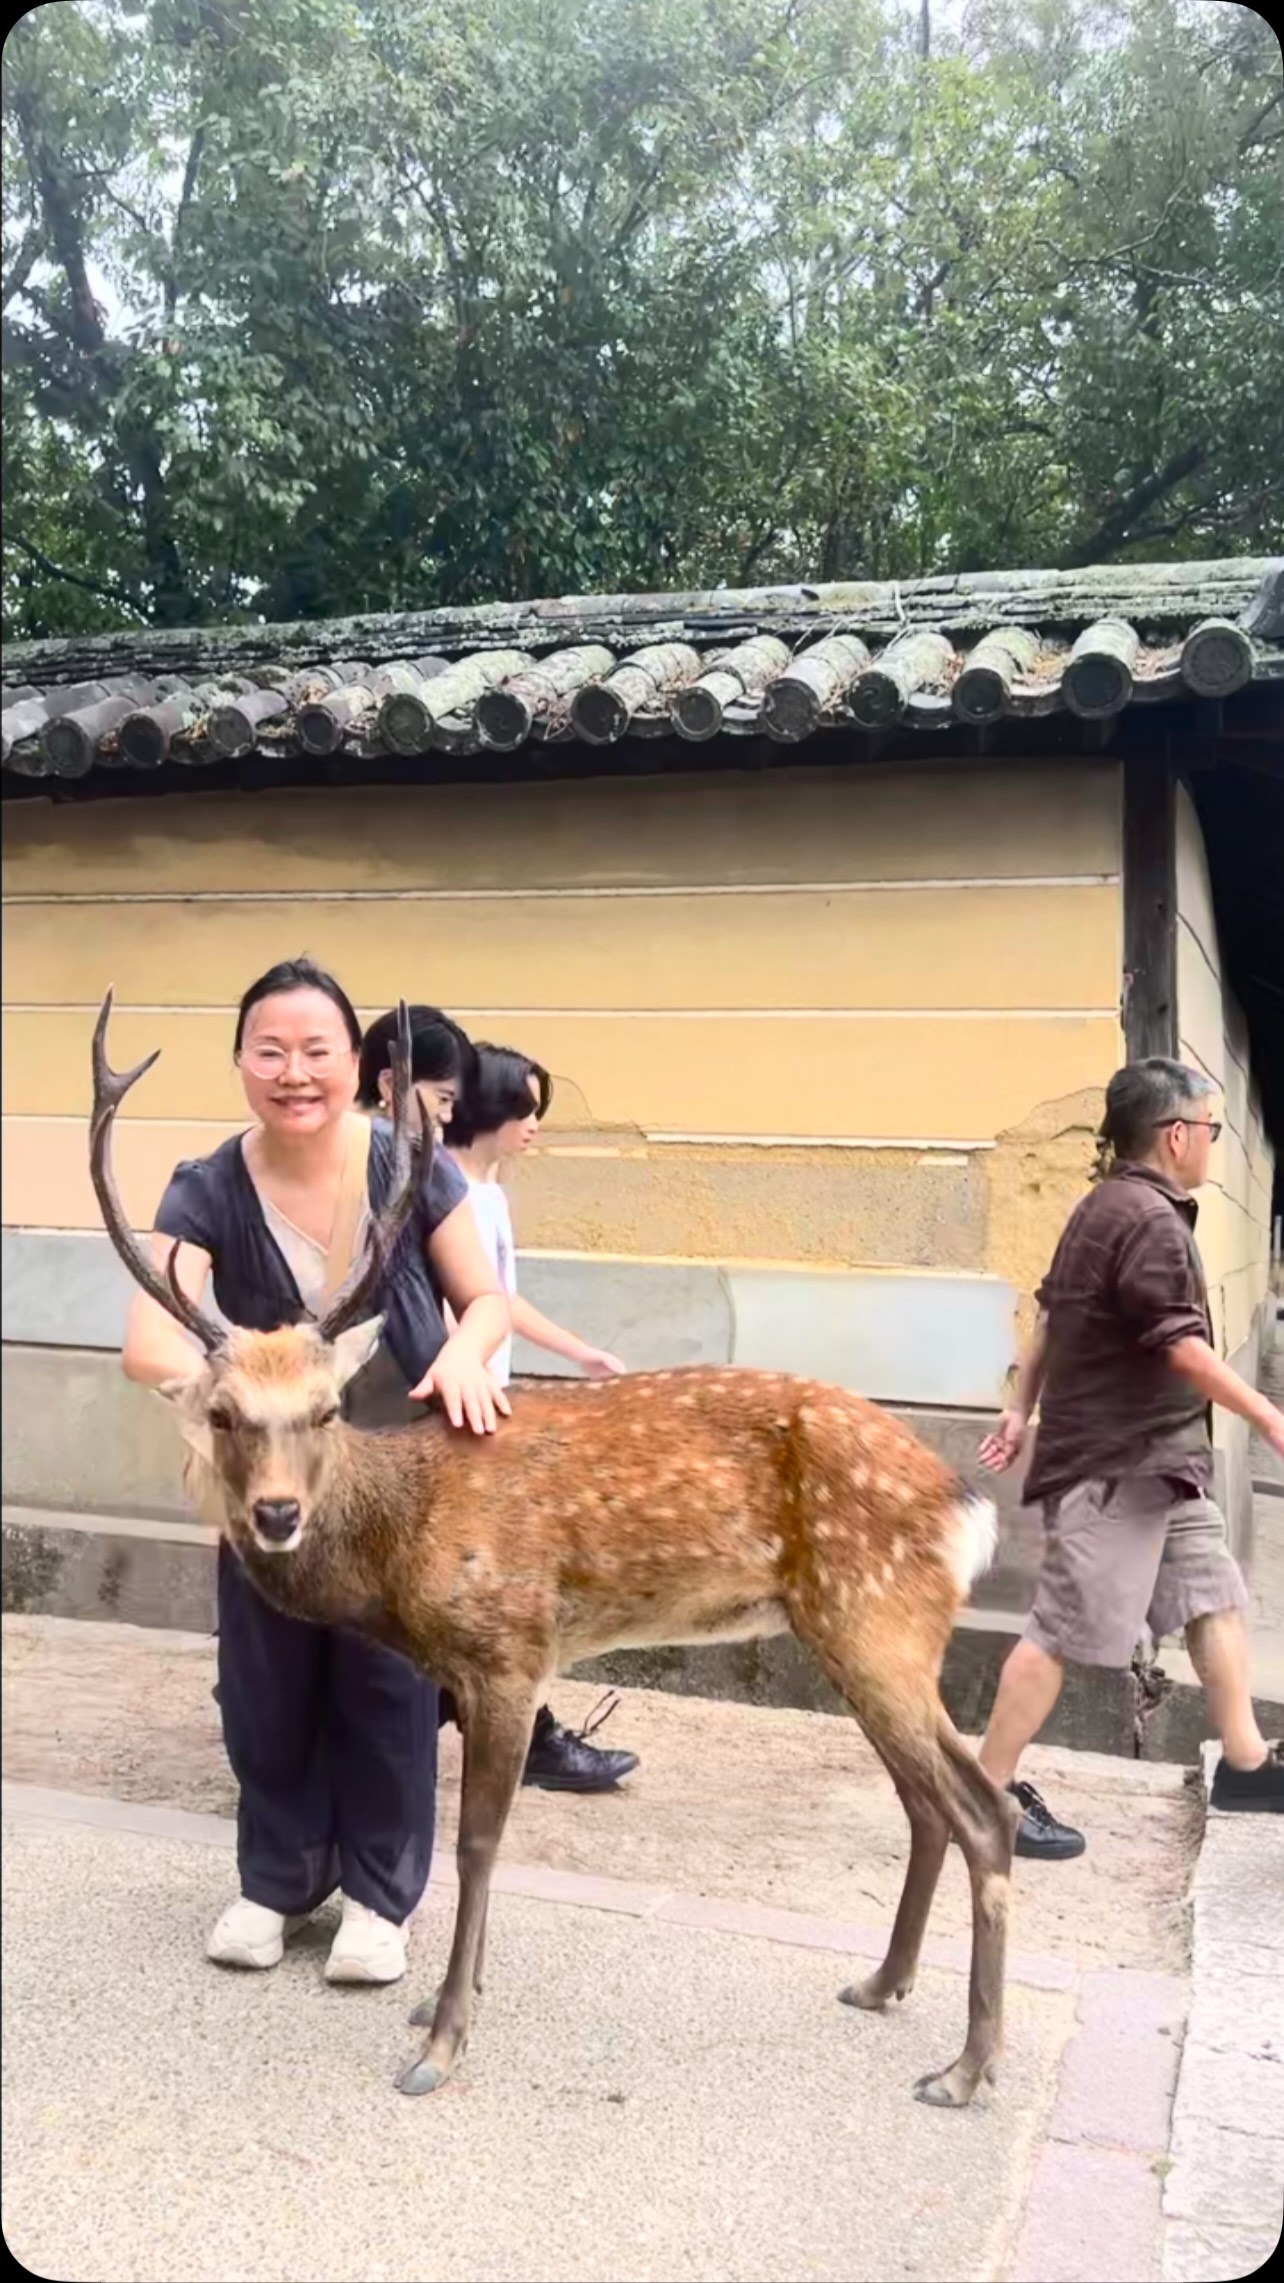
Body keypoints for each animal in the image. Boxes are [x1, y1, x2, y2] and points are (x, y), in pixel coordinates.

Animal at [90, 994, 1015, 2110]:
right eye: (223, 1413)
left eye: (322, 1410)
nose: (274, 1514)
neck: (402, 1556)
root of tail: (966, 1504)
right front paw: (444, 2005)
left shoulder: (508, 1651)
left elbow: (477, 1840)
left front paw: (441, 2041)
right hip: (863, 1632)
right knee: (927, 1803)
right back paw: (880, 1985)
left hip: (880, 1618)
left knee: (984, 1810)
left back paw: (966, 2067)